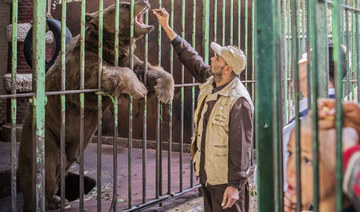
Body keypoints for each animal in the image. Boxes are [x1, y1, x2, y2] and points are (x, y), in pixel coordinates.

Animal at [17, 0, 175, 210]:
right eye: (125, 5)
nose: (146, 2)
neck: (111, 46)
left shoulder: (126, 58)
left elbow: (145, 69)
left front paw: (165, 92)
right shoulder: (81, 67)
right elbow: (100, 74)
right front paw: (139, 88)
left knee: (60, 169)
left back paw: (58, 198)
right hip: (46, 137)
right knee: (47, 169)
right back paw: (54, 201)